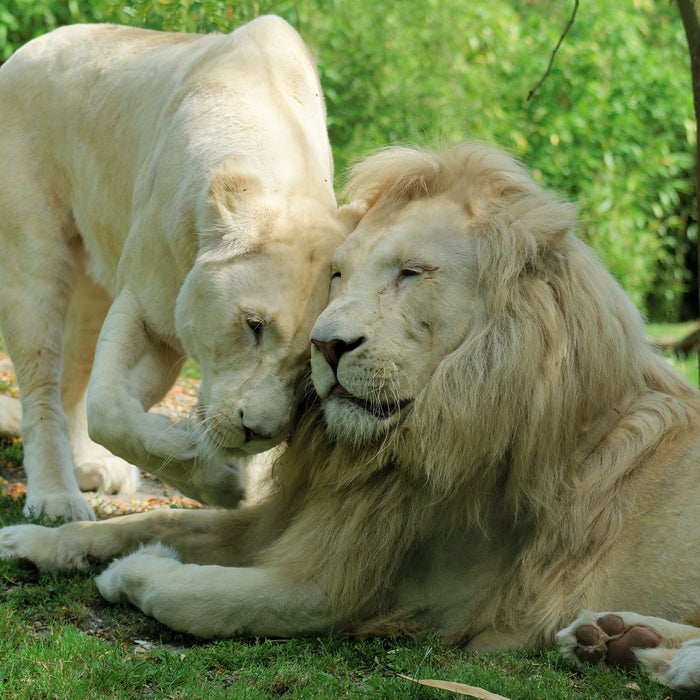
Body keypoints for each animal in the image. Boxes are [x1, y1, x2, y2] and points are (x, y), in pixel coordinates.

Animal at [0, 16, 342, 524]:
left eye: (309, 362)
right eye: (253, 325)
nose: (256, 432)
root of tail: (28, 49)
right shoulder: (147, 305)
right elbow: (110, 411)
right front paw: (219, 480)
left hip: (93, 286)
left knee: (72, 378)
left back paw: (91, 469)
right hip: (35, 256)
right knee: (43, 382)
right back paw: (57, 499)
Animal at [1, 141, 700, 688]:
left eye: (412, 273)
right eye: (338, 275)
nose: (326, 344)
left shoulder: (344, 595)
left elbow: (191, 595)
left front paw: (134, 572)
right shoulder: (290, 523)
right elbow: (153, 521)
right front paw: (36, 540)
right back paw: (616, 640)